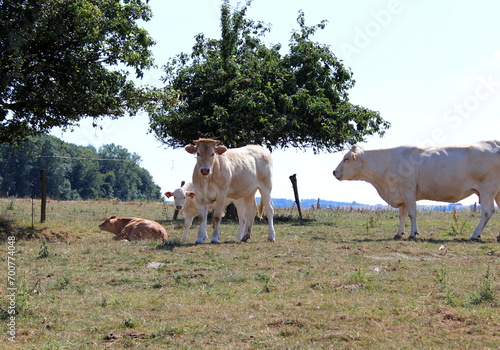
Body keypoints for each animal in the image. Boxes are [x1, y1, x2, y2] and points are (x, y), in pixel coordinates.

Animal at [332, 141, 500, 242]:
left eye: (346, 158)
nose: (334, 172)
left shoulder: (408, 190)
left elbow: (412, 213)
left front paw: (413, 234)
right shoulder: (401, 194)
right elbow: (402, 215)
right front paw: (398, 233)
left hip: (488, 189)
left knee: (487, 211)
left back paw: (475, 235)